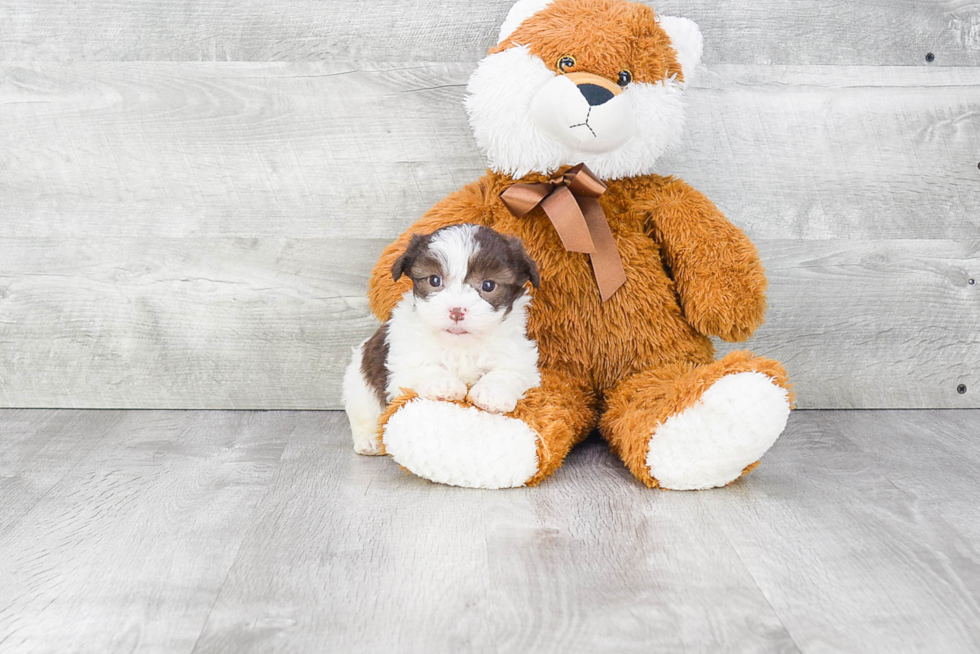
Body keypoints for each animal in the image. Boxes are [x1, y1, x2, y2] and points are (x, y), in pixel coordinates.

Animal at [342, 226, 544, 456]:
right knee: (363, 411)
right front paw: (444, 385)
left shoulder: (518, 357)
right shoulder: (403, 361)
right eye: (434, 281)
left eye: (488, 285)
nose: (456, 311)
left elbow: (507, 373)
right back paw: (369, 440)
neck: (460, 345)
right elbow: (423, 368)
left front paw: (492, 394)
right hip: (358, 383)